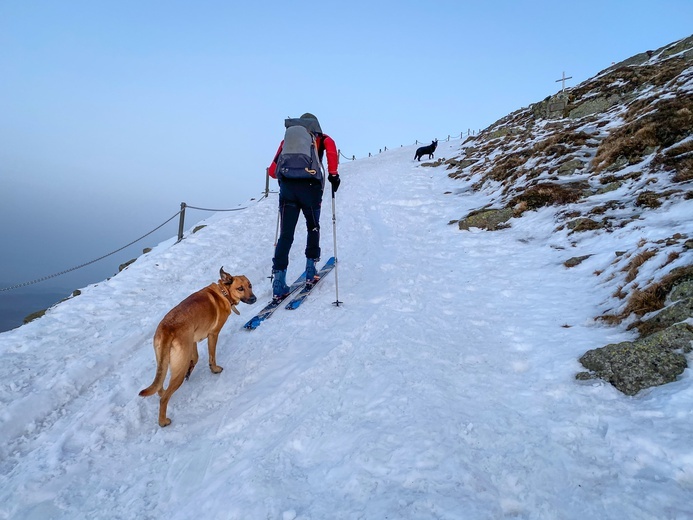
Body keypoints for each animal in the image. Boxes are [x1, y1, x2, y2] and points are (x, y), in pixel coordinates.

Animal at [139, 268, 255, 426]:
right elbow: (212, 356)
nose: (254, 299)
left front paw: (192, 368)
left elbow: (196, 357)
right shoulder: (213, 334)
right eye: (240, 288)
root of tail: (167, 329)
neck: (223, 292)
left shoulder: (192, 341)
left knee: (160, 387)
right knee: (164, 399)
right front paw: (214, 369)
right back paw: (163, 421)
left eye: (250, 285)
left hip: (164, 362)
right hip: (179, 368)